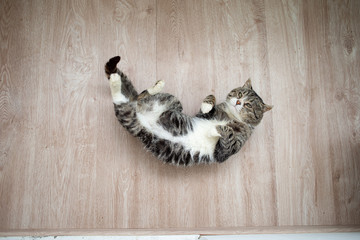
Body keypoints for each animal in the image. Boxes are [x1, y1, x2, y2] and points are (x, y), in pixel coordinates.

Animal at [105, 56, 272, 166]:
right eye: (240, 94)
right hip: (166, 103)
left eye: (249, 105)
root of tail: (138, 109)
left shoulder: (226, 152)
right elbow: (210, 100)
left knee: (128, 100)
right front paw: (208, 105)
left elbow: (228, 136)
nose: (238, 102)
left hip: (134, 118)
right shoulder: (202, 115)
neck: (230, 116)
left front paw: (217, 129)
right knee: (133, 97)